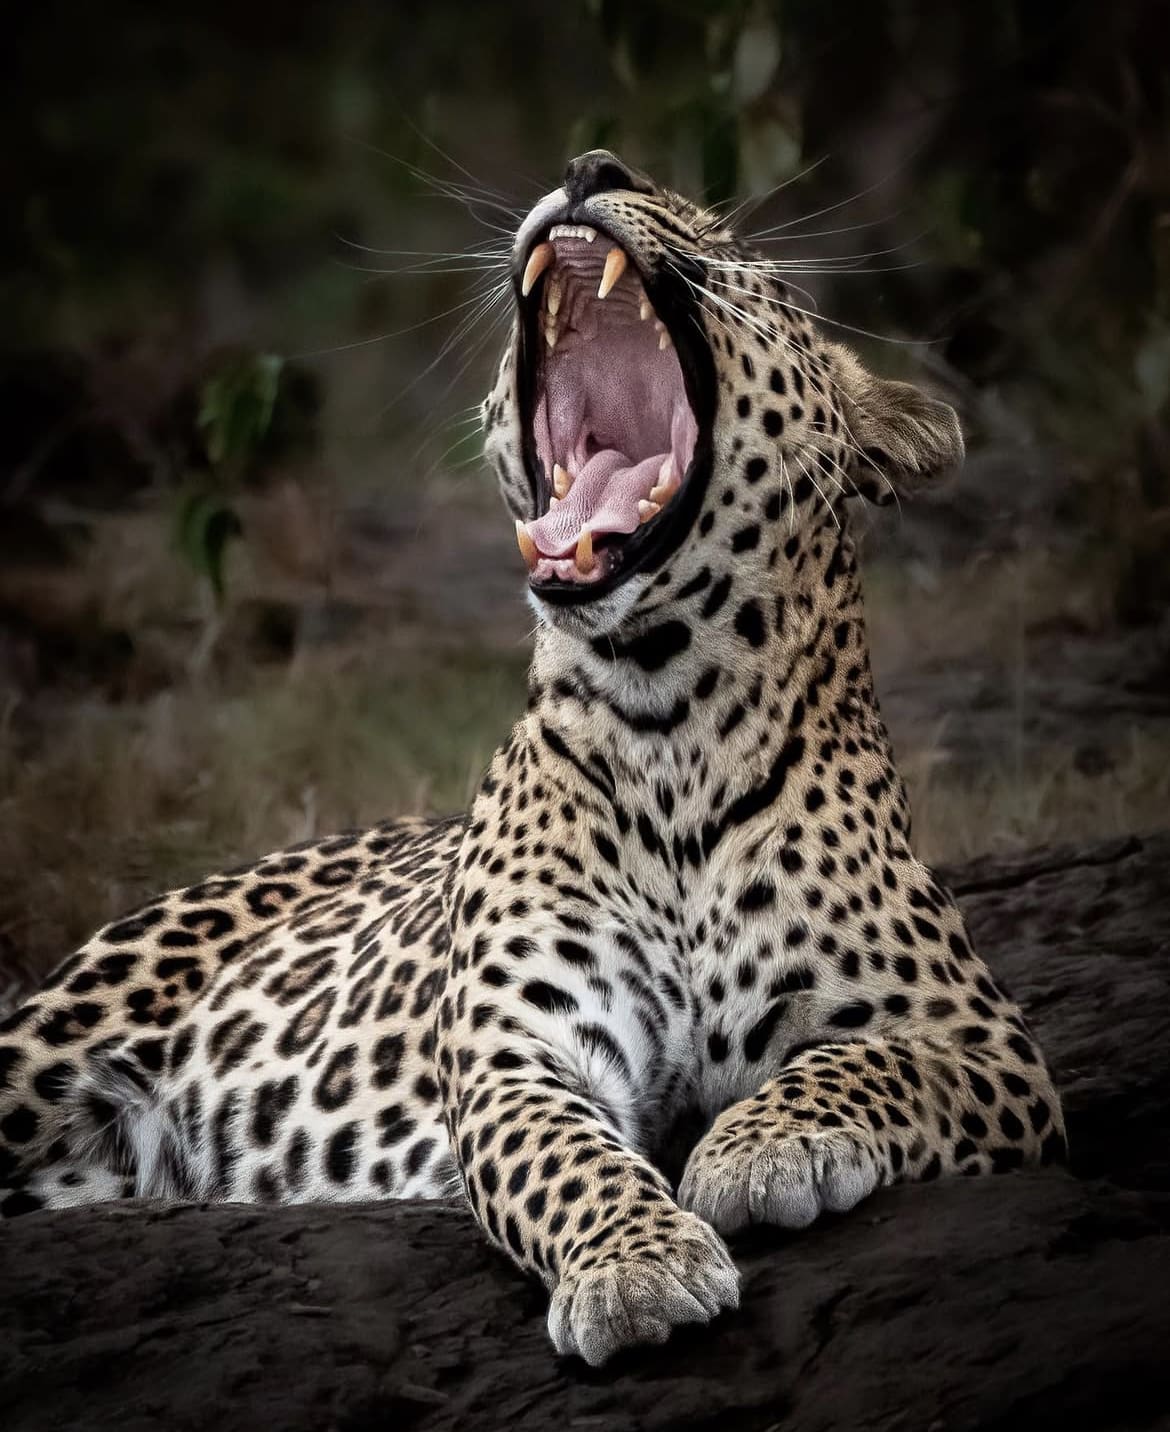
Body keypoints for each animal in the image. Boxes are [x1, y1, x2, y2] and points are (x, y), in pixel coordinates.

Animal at [0, 151, 1065, 1368]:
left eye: (725, 238)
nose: (592, 166)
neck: (668, 712)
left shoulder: (982, 1038)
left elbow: (864, 1062)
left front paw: (757, 1149)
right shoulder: (521, 1051)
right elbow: (569, 1160)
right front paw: (640, 1269)